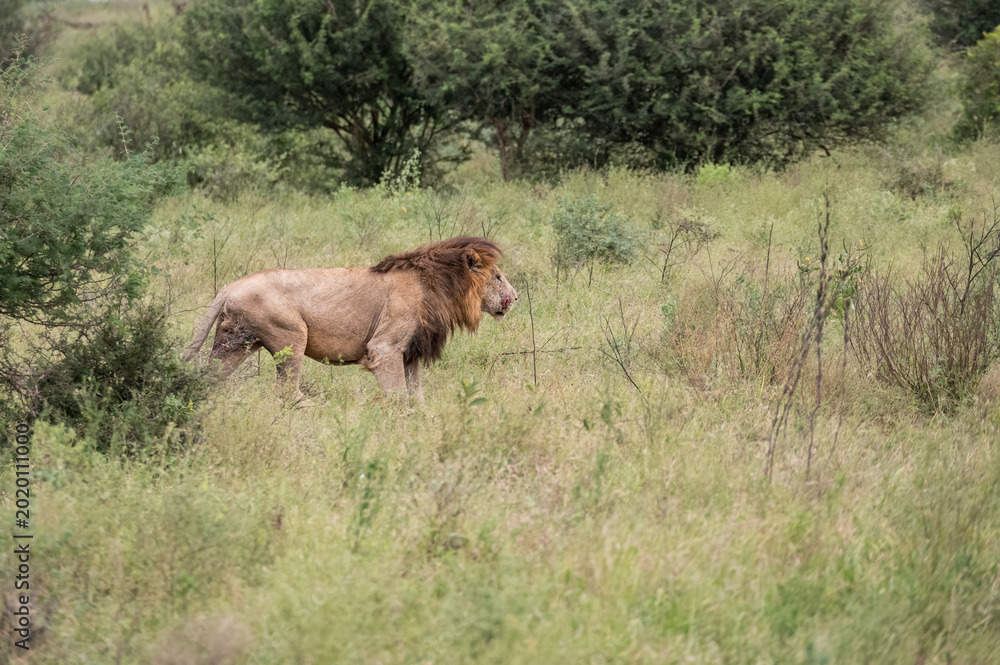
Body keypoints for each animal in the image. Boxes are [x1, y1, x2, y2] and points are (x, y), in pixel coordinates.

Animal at [183, 236, 517, 403]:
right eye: (498, 277)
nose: (515, 297)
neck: (437, 286)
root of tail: (229, 286)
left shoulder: (411, 352)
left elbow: (417, 395)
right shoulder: (384, 348)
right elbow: (398, 396)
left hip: (234, 342)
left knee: (212, 379)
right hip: (292, 335)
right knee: (286, 391)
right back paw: (318, 410)